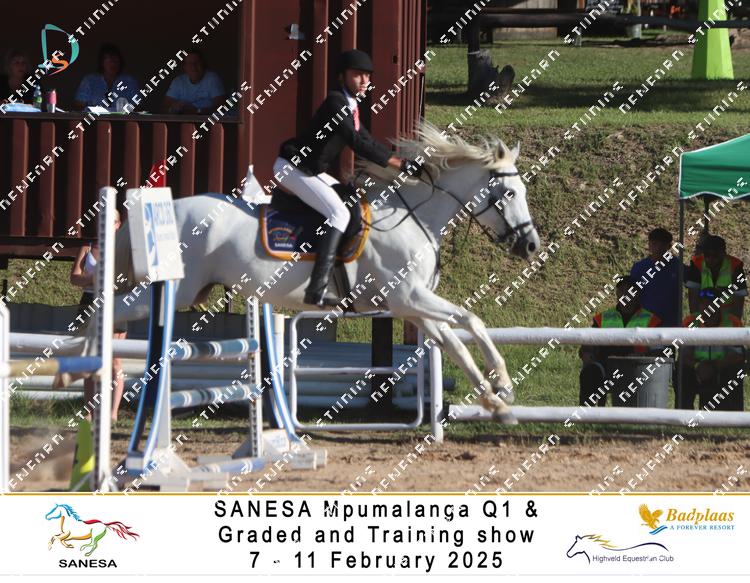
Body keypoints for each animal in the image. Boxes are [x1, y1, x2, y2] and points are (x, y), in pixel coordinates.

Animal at [109, 121, 540, 422]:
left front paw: (496, 401)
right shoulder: (409, 296)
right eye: (509, 194)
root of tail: (171, 208)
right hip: (178, 289)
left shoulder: (412, 306)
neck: (412, 217)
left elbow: (456, 341)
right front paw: (503, 385)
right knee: (113, 309)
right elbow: (471, 320)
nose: (531, 246)